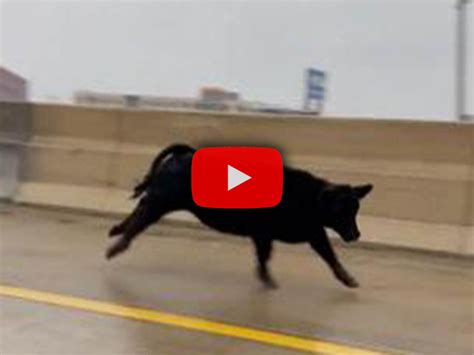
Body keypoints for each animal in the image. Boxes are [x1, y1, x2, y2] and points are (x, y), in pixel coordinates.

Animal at [107, 144, 374, 290]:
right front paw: (268, 281)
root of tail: (185, 153)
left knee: (139, 208)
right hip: (163, 201)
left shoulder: (309, 233)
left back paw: (115, 231)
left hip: (160, 200)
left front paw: (349, 279)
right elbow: (269, 256)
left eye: (356, 208)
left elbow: (328, 255)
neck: (310, 198)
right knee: (140, 219)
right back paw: (115, 247)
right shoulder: (272, 233)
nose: (356, 234)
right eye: (342, 209)